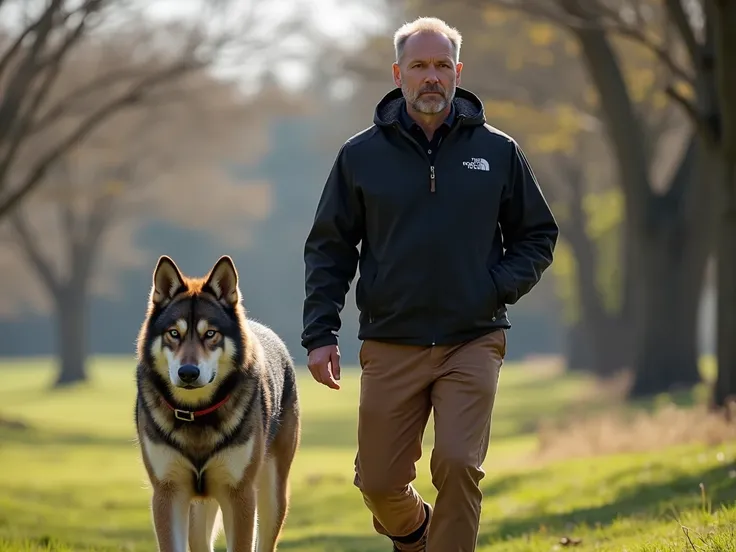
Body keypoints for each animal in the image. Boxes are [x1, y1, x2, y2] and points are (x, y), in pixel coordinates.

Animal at [134, 256, 300, 552]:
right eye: (174, 333)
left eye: (210, 333)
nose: (188, 372)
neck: (197, 413)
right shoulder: (168, 493)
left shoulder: (239, 495)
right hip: (199, 513)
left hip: (272, 496)